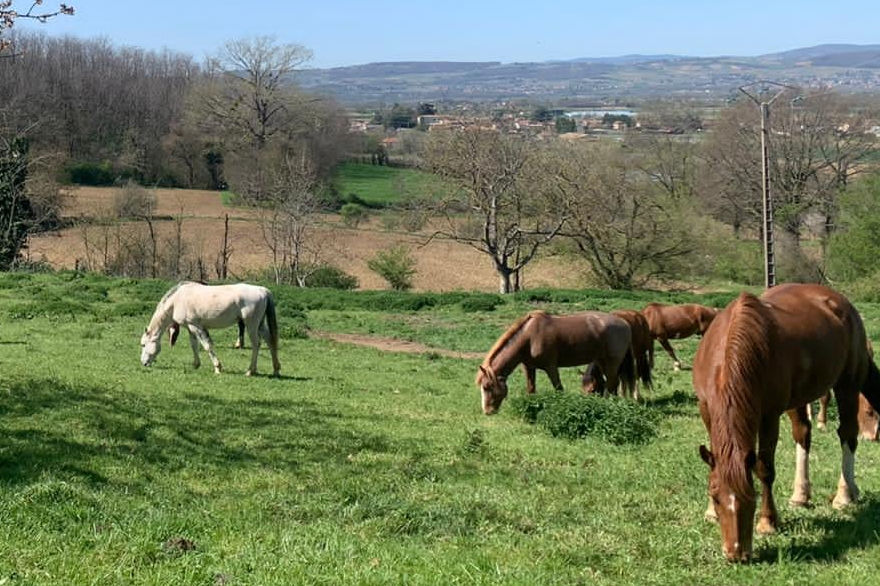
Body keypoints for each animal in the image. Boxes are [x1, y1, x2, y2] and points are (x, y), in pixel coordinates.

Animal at [141, 282, 280, 376]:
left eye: (143, 344)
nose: (143, 363)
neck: (177, 301)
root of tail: (263, 290)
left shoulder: (196, 327)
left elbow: (207, 346)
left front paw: (218, 367)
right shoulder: (190, 328)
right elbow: (194, 345)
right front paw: (196, 364)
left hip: (251, 325)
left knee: (256, 345)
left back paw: (250, 370)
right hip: (260, 325)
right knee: (270, 342)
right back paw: (276, 369)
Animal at [477, 310, 636, 415]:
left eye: (486, 387)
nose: (487, 411)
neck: (530, 337)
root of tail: (625, 323)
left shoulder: (551, 367)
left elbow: (559, 388)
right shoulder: (529, 367)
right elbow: (531, 390)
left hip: (612, 362)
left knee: (611, 383)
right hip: (602, 361)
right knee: (609, 383)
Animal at [692, 283, 880, 562]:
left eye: (751, 496)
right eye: (716, 498)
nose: (736, 553)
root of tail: (840, 302)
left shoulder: (769, 415)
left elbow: (764, 469)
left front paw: (768, 522)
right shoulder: (706, 409)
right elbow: (714, 461)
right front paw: (710, 513)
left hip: (847, 383)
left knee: (847, 434)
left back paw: (845, 494)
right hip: (800, 397)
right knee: (803, 434)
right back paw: (800, 495)